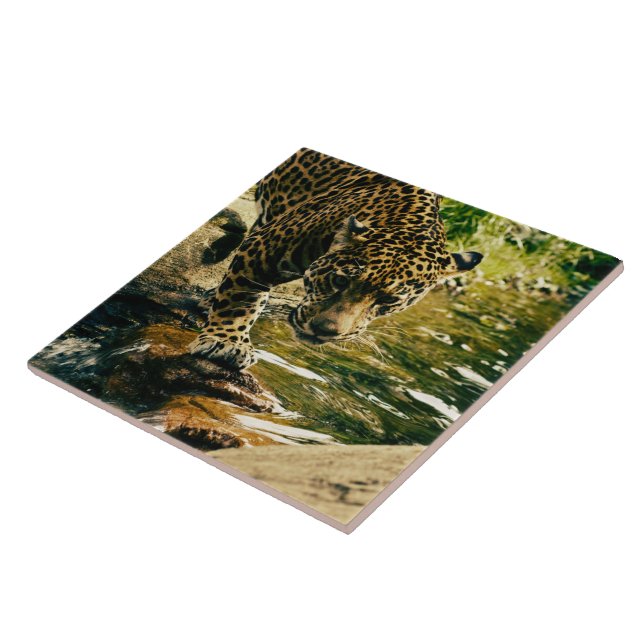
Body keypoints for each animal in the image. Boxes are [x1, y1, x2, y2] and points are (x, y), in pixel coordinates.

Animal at [189, 148, 483, 369]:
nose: (326, 330)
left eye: (388, 301)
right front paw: (227, 343)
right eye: (340, 281)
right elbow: (241, 301)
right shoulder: (262, 249)